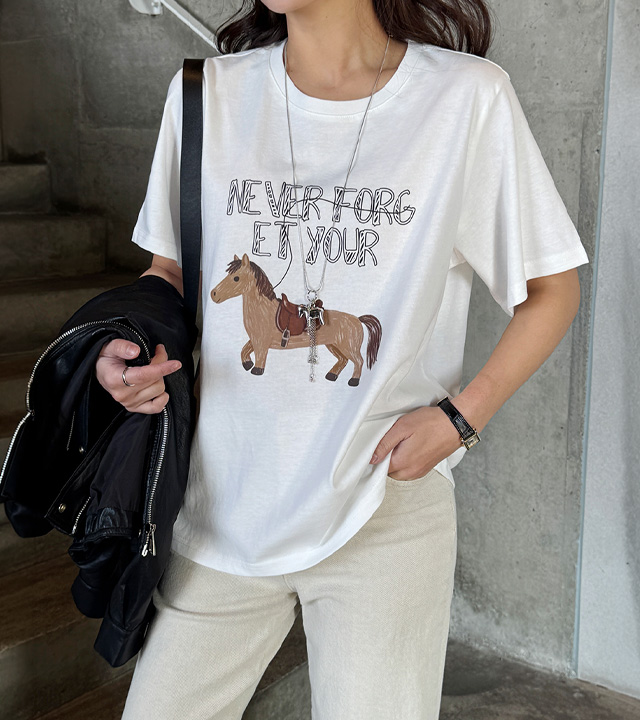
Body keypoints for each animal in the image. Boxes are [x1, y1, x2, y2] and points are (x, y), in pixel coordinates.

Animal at [210, 253, 382, 386]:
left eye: (236, 278)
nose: (213, 294)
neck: (263, 310)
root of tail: (357, 319)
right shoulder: (255, 339)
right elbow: (244, 350)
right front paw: (247, 364)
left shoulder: (261, 342)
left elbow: (259, 357)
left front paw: (256, 370)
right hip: (333, 345)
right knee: (343, 360)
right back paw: (331, 375)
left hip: (348, 347)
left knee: (358, 361)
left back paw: (353, 381)